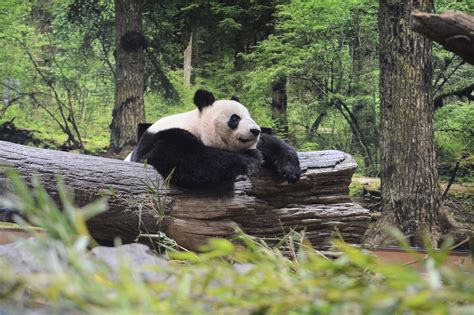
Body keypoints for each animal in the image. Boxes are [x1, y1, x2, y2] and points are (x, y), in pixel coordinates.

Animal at [126, 89, 300, 188]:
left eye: (250, 116)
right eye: (235, 118)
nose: (255, 130)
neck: (197, 124)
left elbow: (269, 143)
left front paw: (290, 170)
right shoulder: (165, 137)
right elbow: (189, 161)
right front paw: (251, 157)